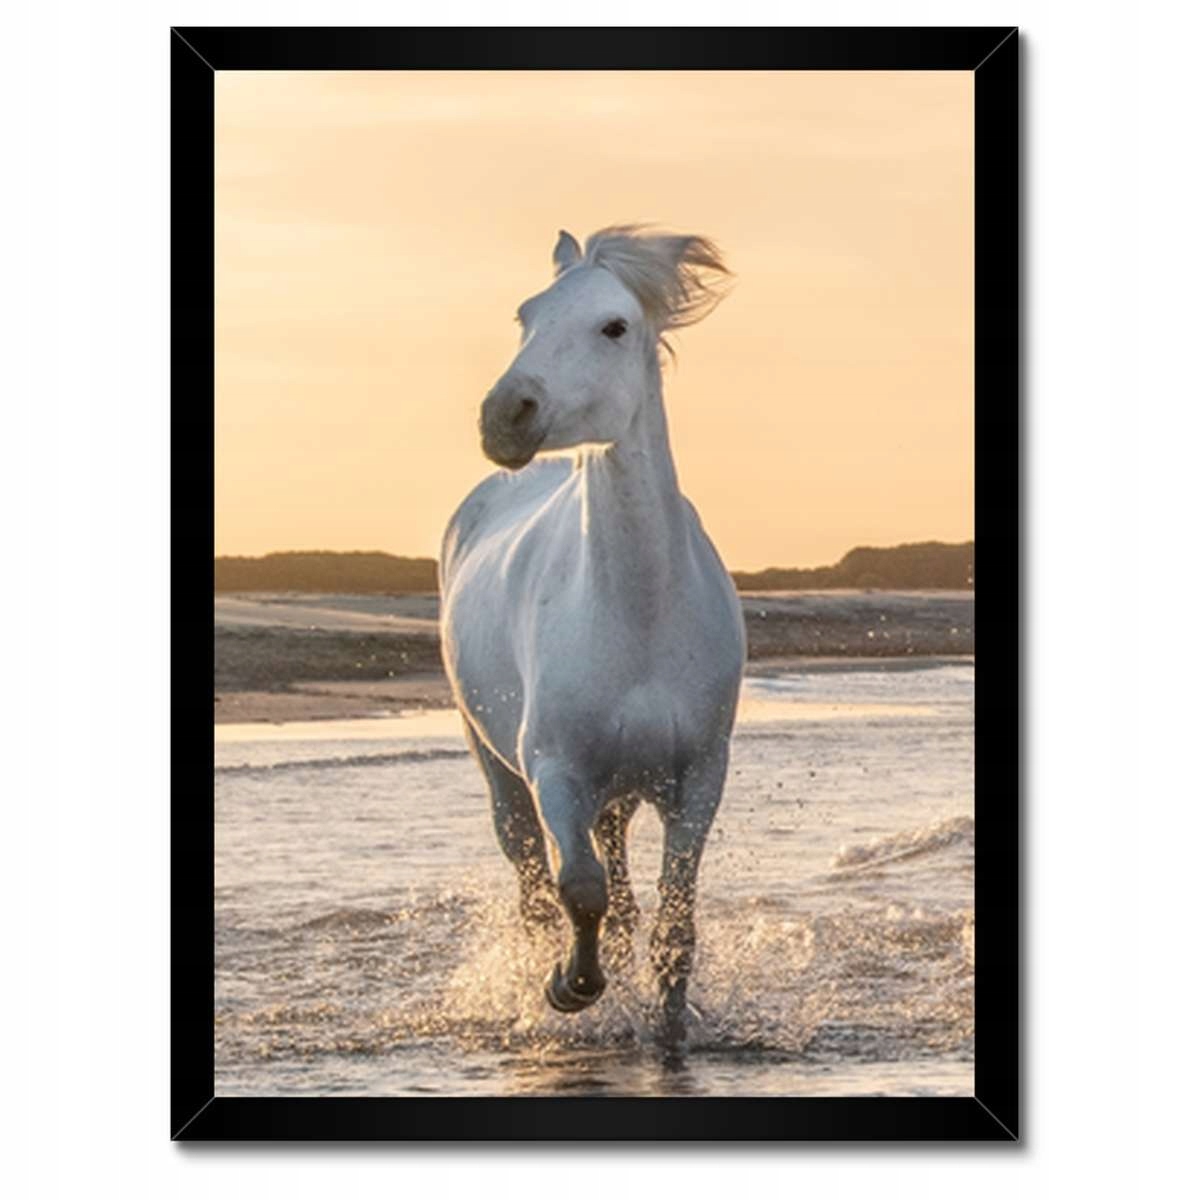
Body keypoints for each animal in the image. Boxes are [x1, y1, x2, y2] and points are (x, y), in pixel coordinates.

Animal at [439, 226, 745, 1045]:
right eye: (526, 316)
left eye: (614, 326)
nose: (504, 415)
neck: (637, 616)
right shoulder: (556, 772)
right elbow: (579, 888)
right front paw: (570, 986)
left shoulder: (698, 778)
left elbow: (673, 922)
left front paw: (668, 1022)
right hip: (501, 771)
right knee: (533, 882)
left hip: (620, 792)